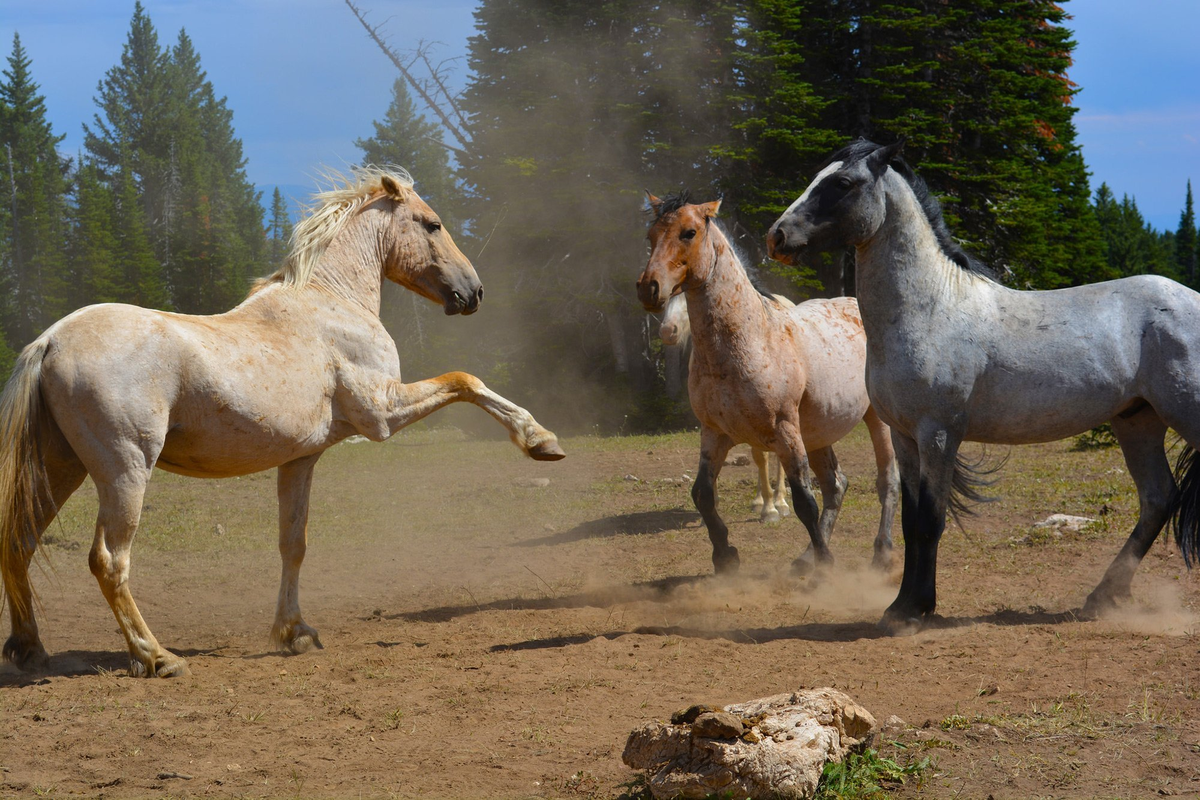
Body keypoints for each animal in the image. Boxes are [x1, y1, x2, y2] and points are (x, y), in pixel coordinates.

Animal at [0, 167, 564, 676]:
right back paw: (156, 656)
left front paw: (295, 632)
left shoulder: (301, 459)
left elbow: (293, 544)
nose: (474, 292)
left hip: (62, 468)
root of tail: (49, 341)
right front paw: (540, 440)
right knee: (109, 561)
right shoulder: (382, 413)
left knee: (20, 541)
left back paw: (30, 649)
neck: (332, 301)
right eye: (432, 224)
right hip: (125, 470)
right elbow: (466, 380)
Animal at [657, 291, 787, 522]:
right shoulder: (710, 420)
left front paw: (770, 509)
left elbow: (761, 456)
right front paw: (712, 503)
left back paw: (780, 501)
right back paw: (758, 500)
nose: (667, 330)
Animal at [772, 140, 1200, 633]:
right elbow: (911, 520)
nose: (776, 237)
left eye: (842, 183)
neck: (929, 308)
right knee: (1157, 499)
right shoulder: (904, 436)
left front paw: (914, 608)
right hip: (1137, 422)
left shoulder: (938, 434)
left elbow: (930, 520)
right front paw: (901, 605)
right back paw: (1101, 597)